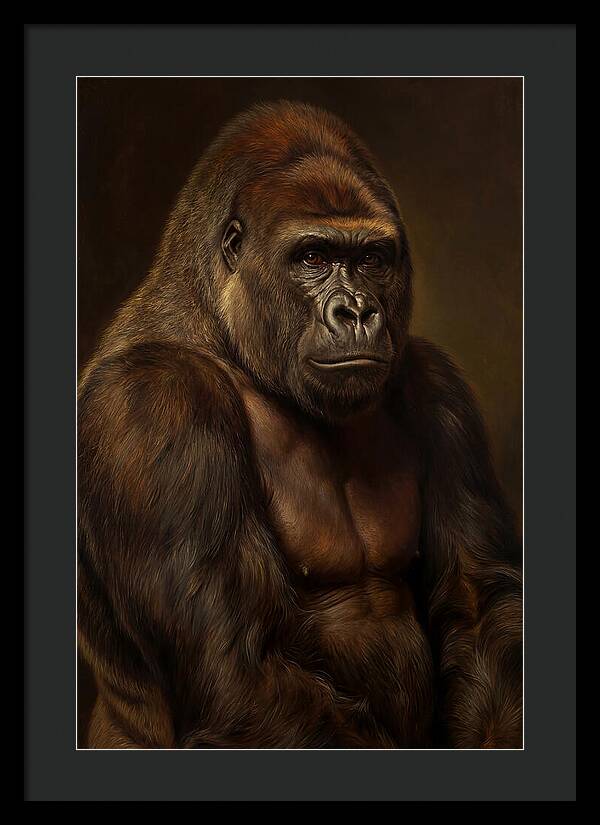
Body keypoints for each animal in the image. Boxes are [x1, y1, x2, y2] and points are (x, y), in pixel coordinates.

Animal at [78, 100, 522, 749]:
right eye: (312, 257)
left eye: (371, 259)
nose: (357, 312)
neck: (226, 334)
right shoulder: (154, 402)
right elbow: (234, 668)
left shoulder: (438, 386)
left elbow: (478, 603)